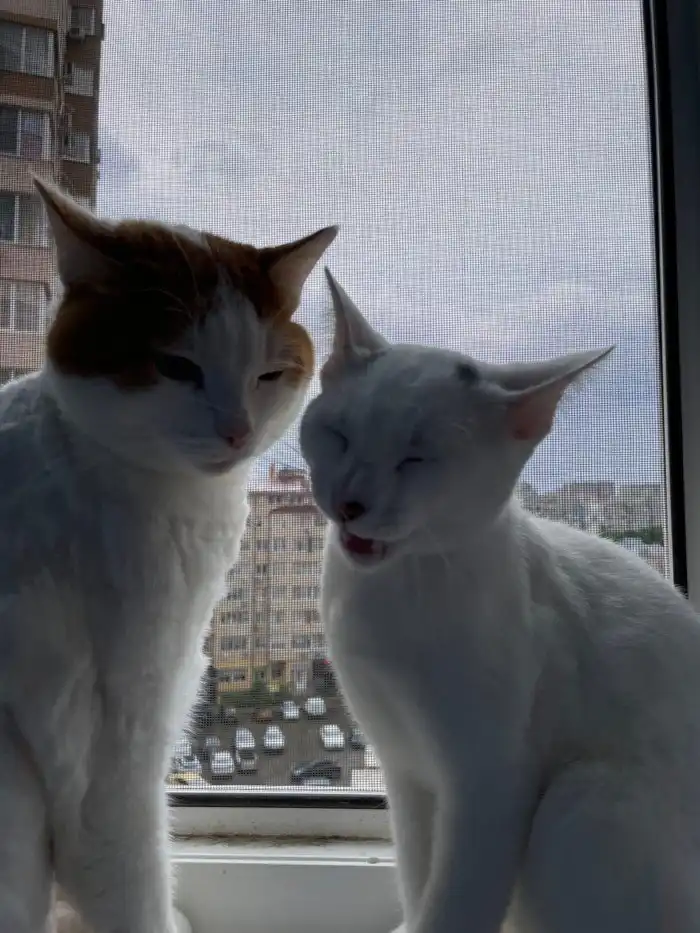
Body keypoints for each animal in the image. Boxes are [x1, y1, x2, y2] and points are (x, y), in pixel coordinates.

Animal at [299, 268, 700, 933]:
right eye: (339, 434)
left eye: (417, 458)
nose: (351, 502)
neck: (391, 598)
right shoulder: (407, 772)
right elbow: (417, 876)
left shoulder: (489, 785)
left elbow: (456, 904)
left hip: (583, 803)